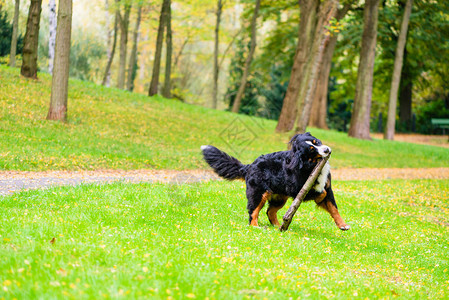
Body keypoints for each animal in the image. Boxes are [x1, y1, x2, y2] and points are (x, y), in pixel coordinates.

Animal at [200, 132, 350, 231]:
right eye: (312, 150)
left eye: (315, 141)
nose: (326, 150)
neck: (311, 164)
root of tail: (249, 166)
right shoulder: (298, 190)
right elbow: (320, 194)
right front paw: (319, 197)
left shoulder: (328, 188)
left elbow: (334, 208)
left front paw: (342, 225)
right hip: (259, 193)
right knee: (253, 211)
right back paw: (256, 227)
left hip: (280, 197)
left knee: (270, 212)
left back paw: (278, 227)